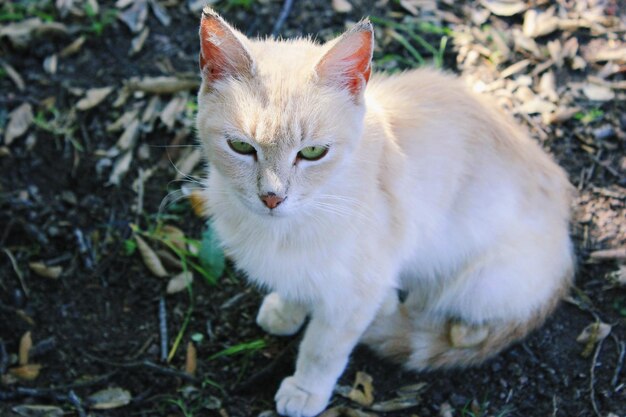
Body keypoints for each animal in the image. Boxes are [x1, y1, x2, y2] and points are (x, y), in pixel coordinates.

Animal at [195, 7, 572, 416]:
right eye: (240, 147)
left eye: (312, 153)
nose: (272, 198)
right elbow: (297, 282)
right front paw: (286, 308)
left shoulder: (357, 290)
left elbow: (323, 349)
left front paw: (306, 389)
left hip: (480, 279)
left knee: (465, 326)